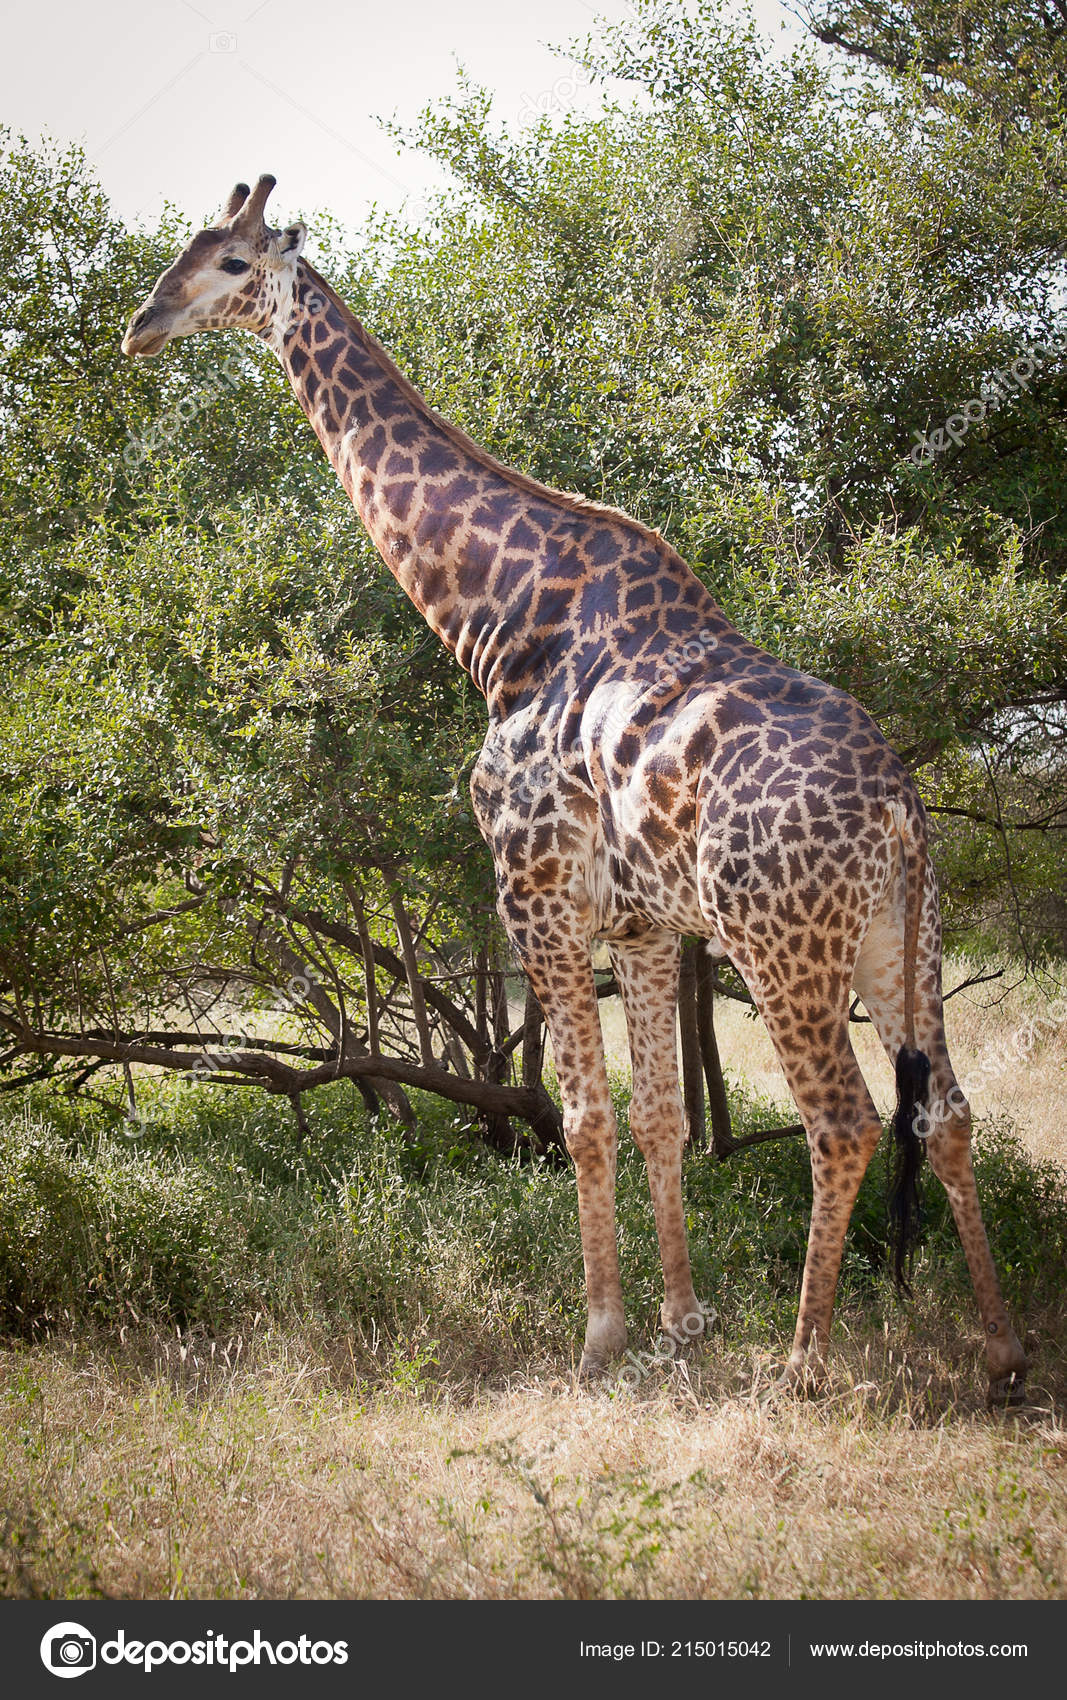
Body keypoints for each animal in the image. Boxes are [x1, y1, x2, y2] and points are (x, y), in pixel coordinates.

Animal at [122, 175, 1028, 1403]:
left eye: (225, 262)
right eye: (185, 248)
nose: (141, 324)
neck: (499, 620)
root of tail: (897, 804)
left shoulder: (536, 891)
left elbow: (585, 1113)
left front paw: (598, 1336)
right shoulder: (642, 924)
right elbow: (657, 1115)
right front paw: (680, 1321)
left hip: (781, 939)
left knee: (841, 1121)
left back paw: (802, 1362)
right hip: (901, 935)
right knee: (946, 1111)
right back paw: (1000, 1347)